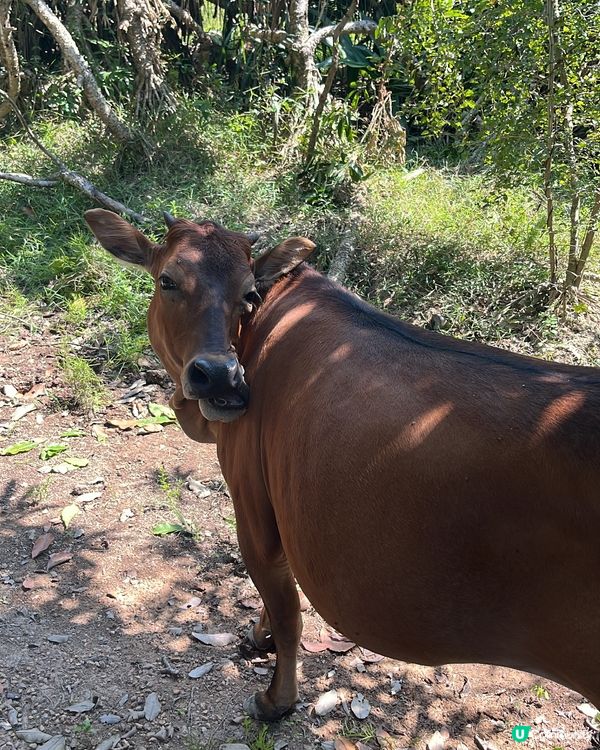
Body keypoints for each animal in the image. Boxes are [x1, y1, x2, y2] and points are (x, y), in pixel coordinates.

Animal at [85, 210, 600, 724]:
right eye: (168, 280)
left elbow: (287, 611)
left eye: (248, 293)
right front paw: (259, 636)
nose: (220, 378)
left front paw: (276, 697)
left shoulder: (253, 506)